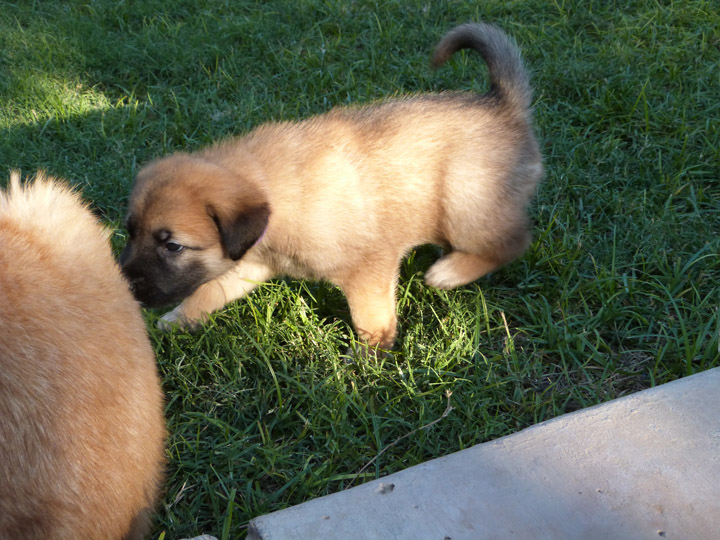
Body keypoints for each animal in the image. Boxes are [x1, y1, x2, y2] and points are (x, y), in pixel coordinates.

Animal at [121, 22, 544, 350]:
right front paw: (179, 319)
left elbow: (370, 316)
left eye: (173, 246)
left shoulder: (368, 268)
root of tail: (503, 105)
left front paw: (369, 360)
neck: (275, 196)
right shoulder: (251, 263)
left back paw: (450, 272)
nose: (124, 286)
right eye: (130, 232)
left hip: (465, 202)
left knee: (512, 241)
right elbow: (211, 289)